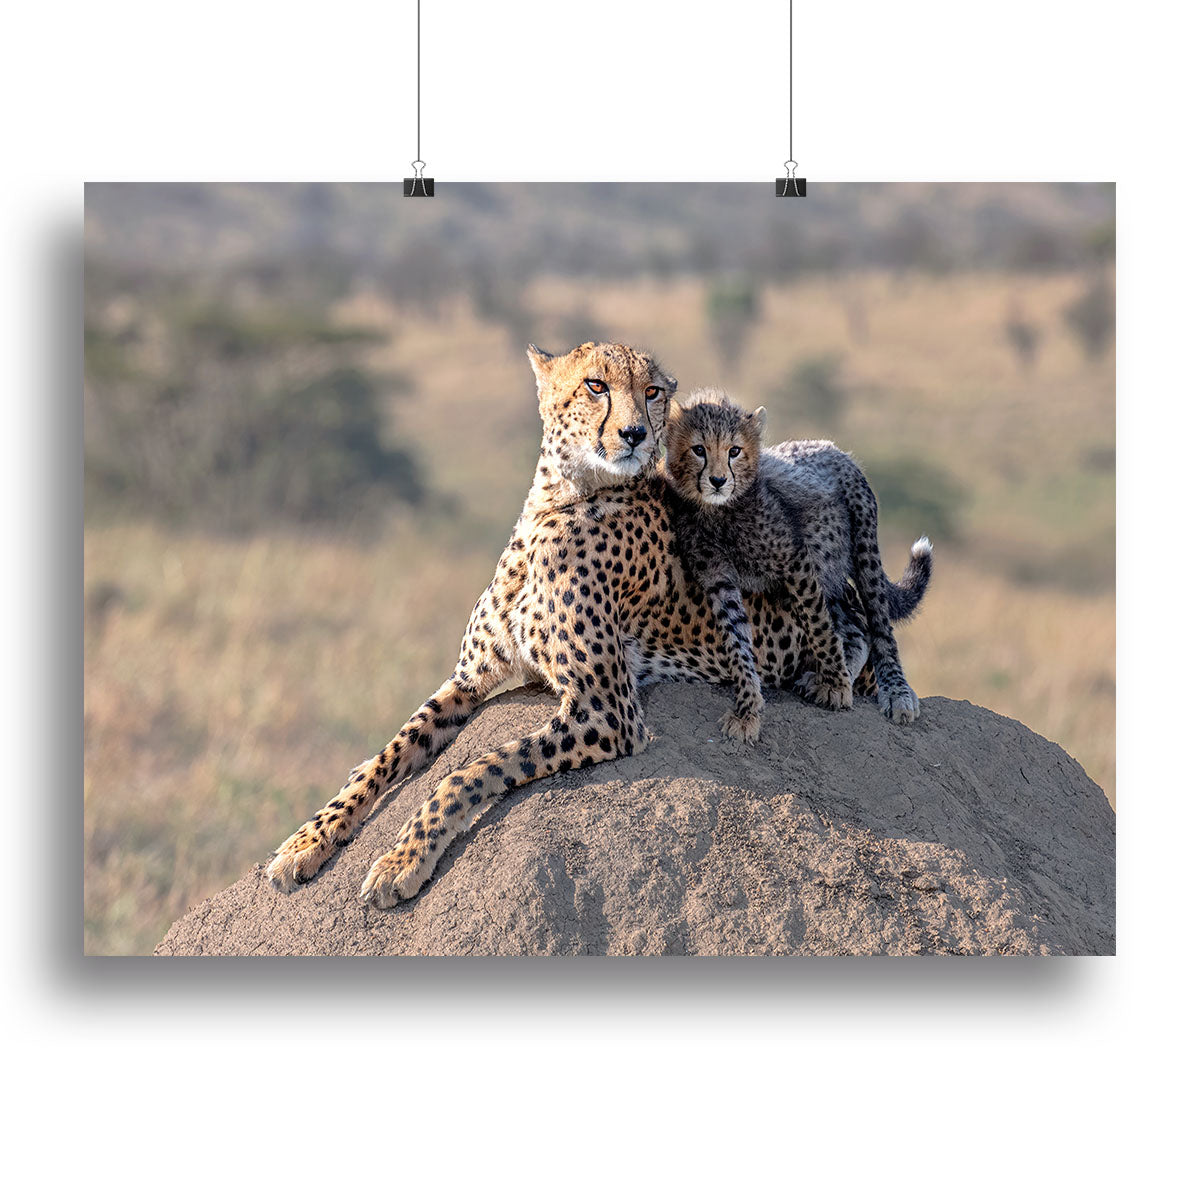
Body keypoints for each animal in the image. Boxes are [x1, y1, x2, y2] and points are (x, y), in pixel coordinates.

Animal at [662, 388, 856, 744]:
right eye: (699, 450)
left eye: (735, 451)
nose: (718, 480)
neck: (720, 513)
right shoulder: (719, 580)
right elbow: (737, 640)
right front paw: (747, 708)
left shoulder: (794, 561)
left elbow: (819, 624)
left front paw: (836, 682)